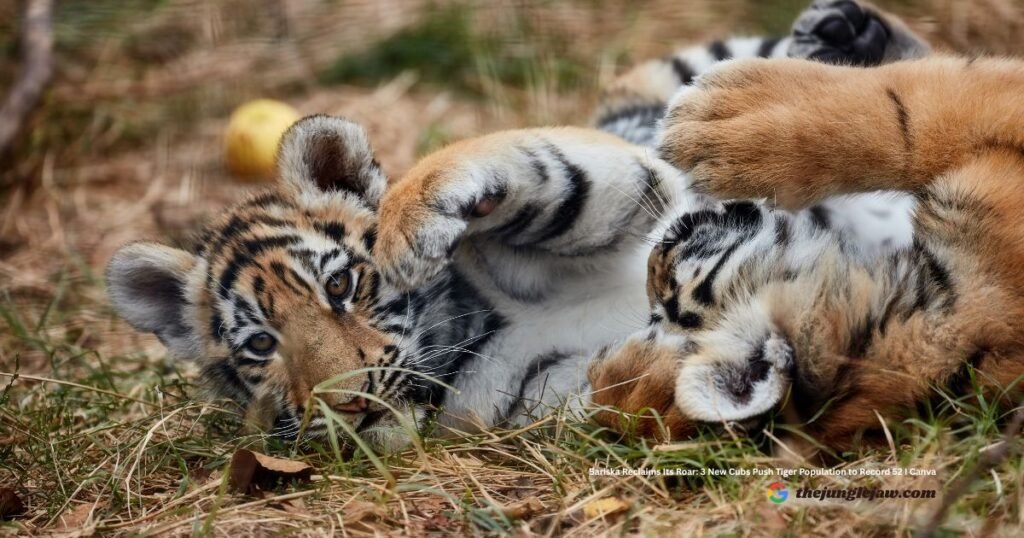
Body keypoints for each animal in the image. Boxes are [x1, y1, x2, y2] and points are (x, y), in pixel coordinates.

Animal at [105, 0, 961, 452]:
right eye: (259, 345)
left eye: (343, 285)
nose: (345, 404)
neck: (468, 330)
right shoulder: (528, 400)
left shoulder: (629, 185)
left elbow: (534, 169)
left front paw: (415, 220)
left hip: (692, 78)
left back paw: (841, 31)